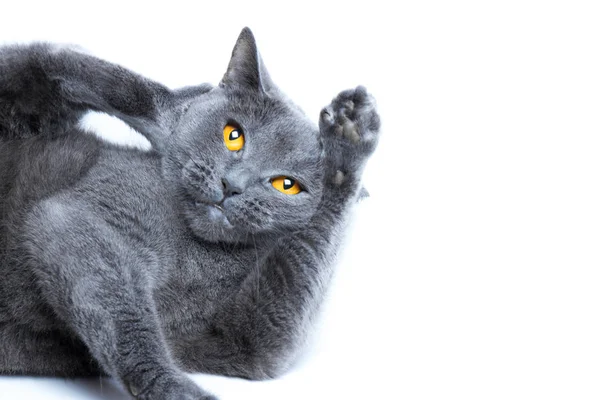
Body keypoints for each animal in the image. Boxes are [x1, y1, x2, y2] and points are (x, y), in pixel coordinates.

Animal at [1, 28, 380, 400]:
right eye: (233, 135)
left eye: (287, 185)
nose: (232, 185)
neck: (197, 257)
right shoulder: (84, 217)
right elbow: (126, 318)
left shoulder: (241, 342)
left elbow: (270, 331)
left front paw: (346, 152)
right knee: (52, 61)